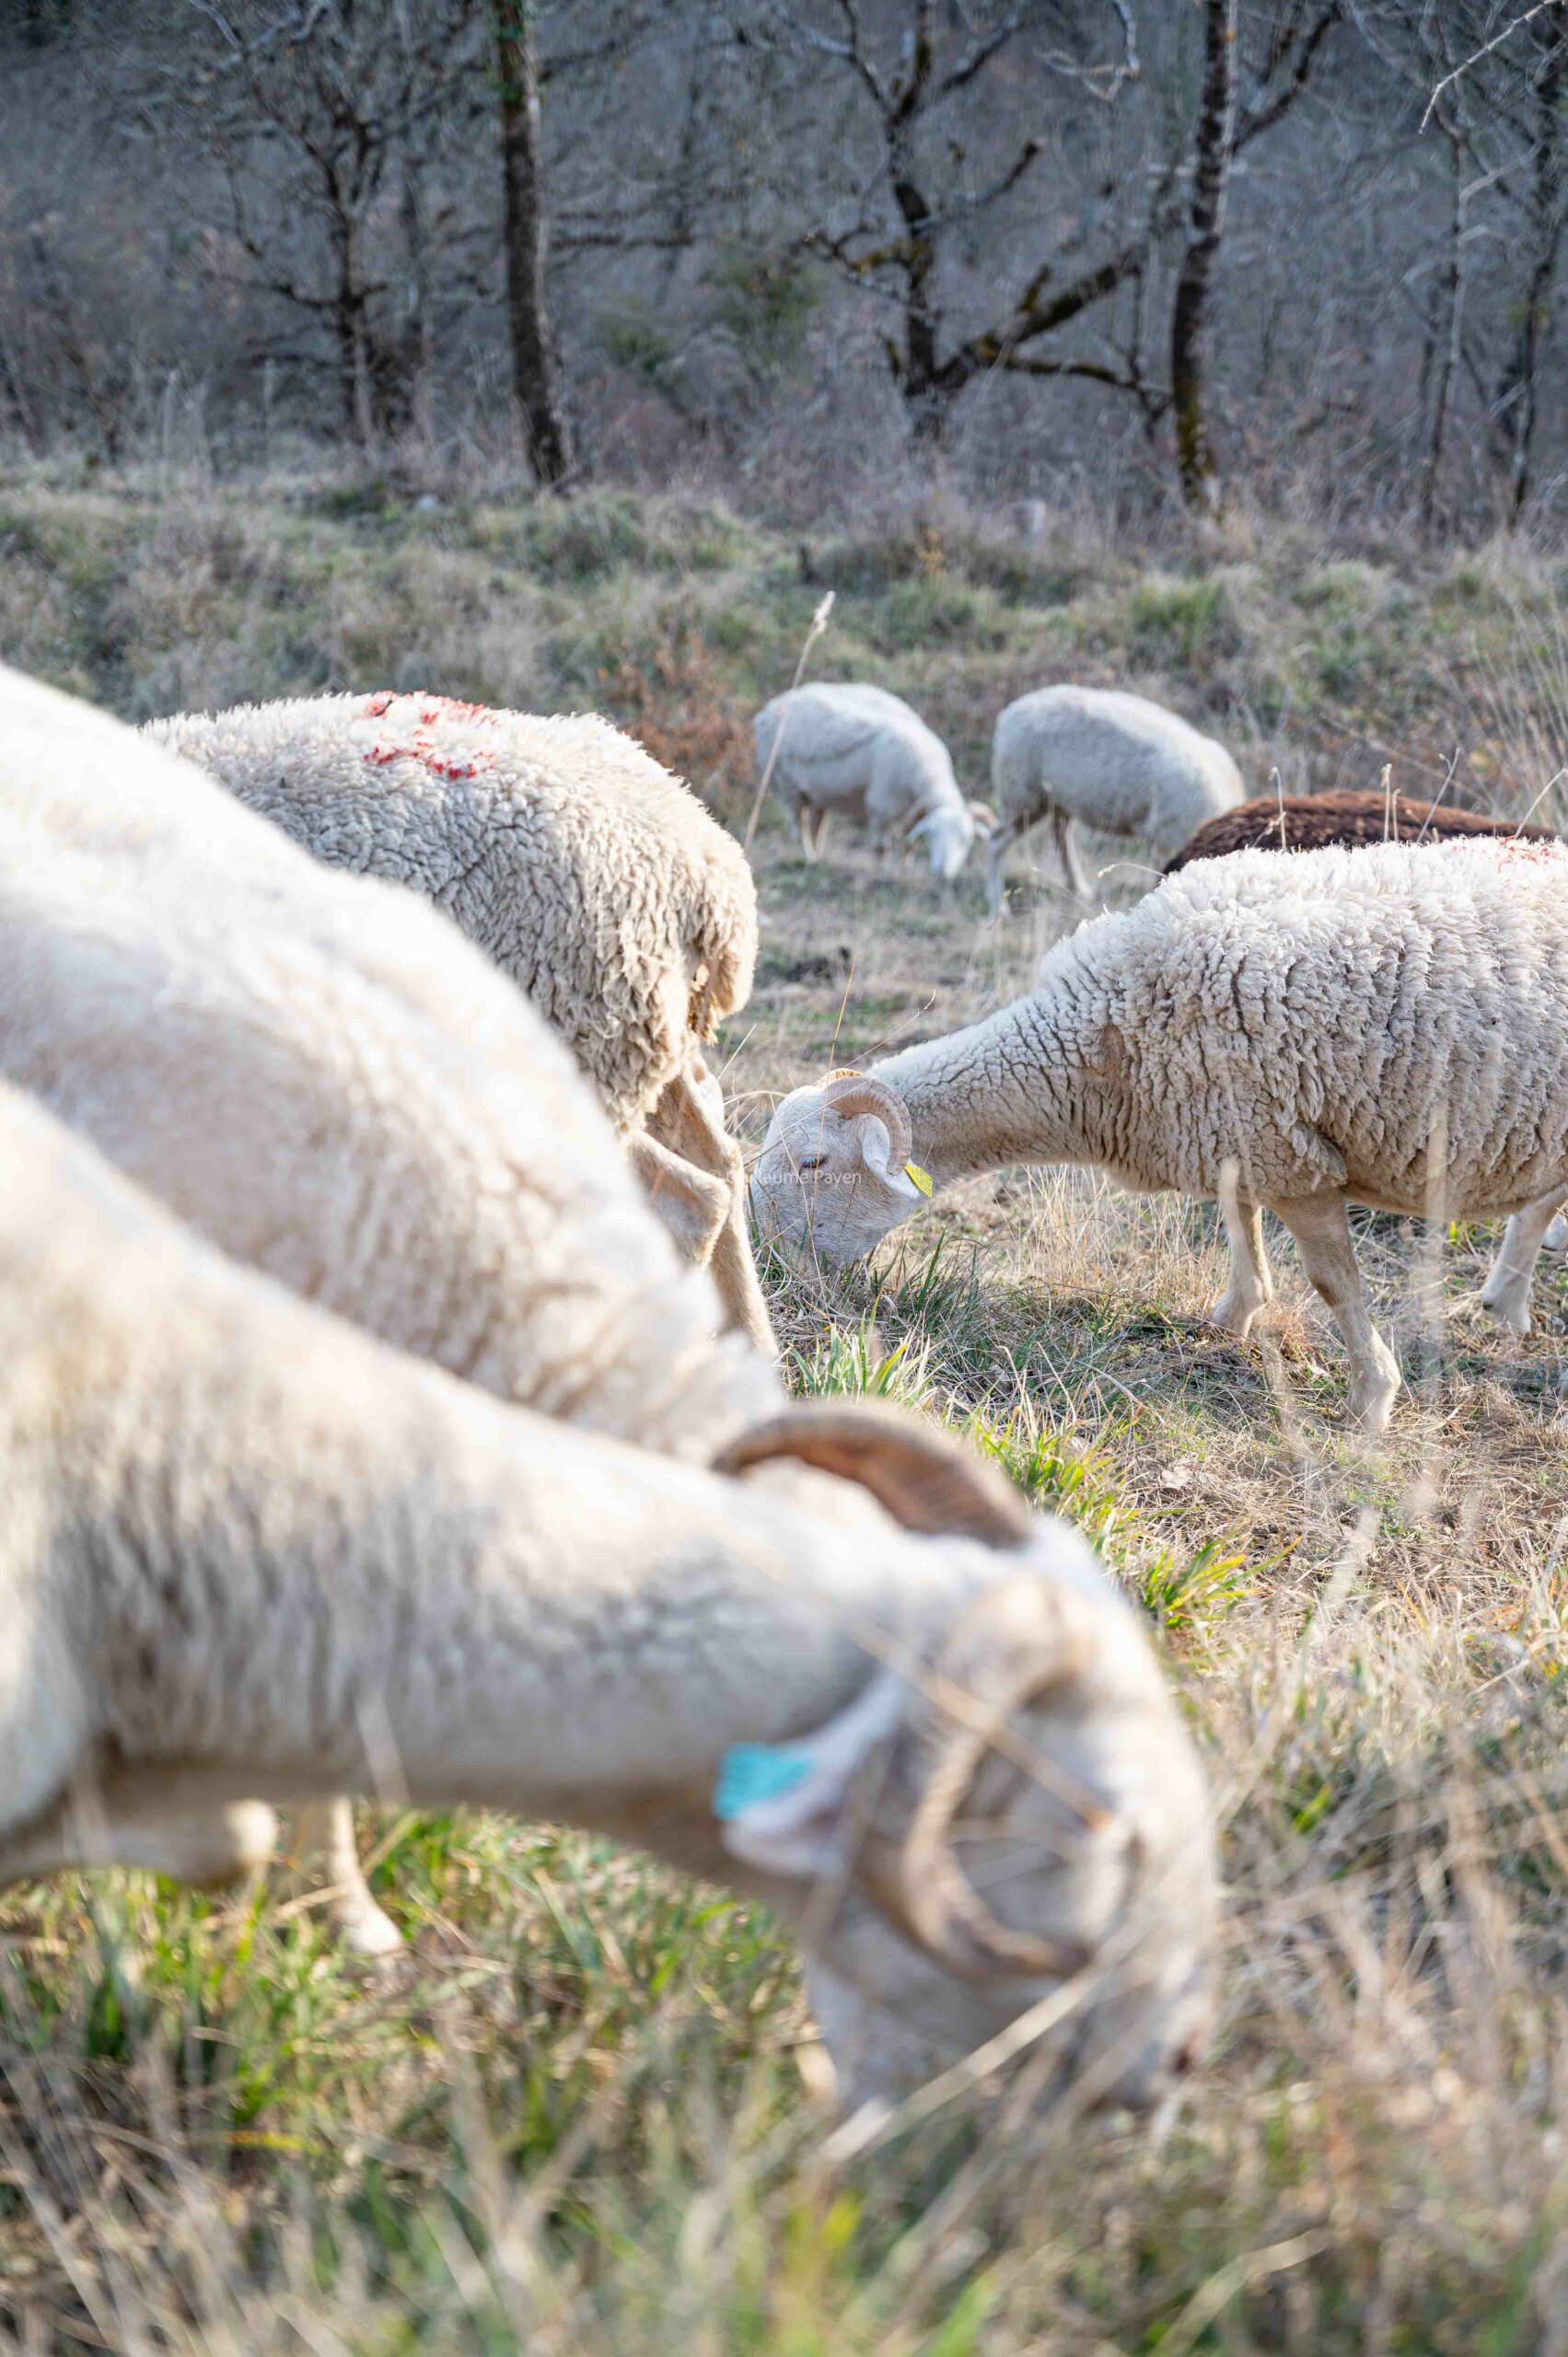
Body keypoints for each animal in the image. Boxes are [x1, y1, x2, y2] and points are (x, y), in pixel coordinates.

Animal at [750, 837, 1568, 1435]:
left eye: (813, 1162)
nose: (775, 1277)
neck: (1102, 1039)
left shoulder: (1291, 1157)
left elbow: (1333, 1284)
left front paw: (1372, 1399)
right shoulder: (1233, 1140)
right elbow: (1239, 1229)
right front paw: (1232, 1315)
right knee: (1540, 1202)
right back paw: (1505, 1301)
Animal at [753, 682, 994, 880]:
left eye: (966, 840)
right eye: (934, 833)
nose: (943, 872)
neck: (926, 772)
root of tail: (768, 710)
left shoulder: (911, 811)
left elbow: (910, 844)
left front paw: (906, 868)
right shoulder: (880, 807)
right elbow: (881, 848)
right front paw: (883, 871)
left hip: (817, 793)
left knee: (816, 826)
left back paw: (819, 856)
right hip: (787, 786)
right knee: (799, 827)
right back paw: (809, 857)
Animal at [986, 686, 1245, 914]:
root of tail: (1009, 713)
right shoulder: (1163, 839)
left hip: (1057, 800)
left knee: (1061, 837)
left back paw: (1079, 889)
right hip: (1022, 797)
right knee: (996, 842)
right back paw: (999, 908)